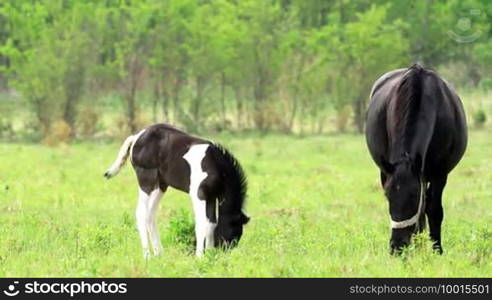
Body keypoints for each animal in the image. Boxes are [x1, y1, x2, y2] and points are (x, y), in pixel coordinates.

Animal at [104, 123, 250, 258]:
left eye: (238, 233)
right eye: (234, 230)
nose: (222, 252)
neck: (215, 165)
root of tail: (136, 137)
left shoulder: (211, 197)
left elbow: (211, 224)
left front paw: (208, 254)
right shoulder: (198, 195)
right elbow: (201, 224)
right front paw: (200, 257)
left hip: (160, 186)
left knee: (150, 215)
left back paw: (159, 254)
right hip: (146, 181)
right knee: (141, 213)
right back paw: (147, 256)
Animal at [368, 63, 468, 253]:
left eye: (413, 196)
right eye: (387, 195)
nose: (397, 246)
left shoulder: (439, 174)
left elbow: (434, 210)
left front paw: (437, 250)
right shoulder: (386, 173)